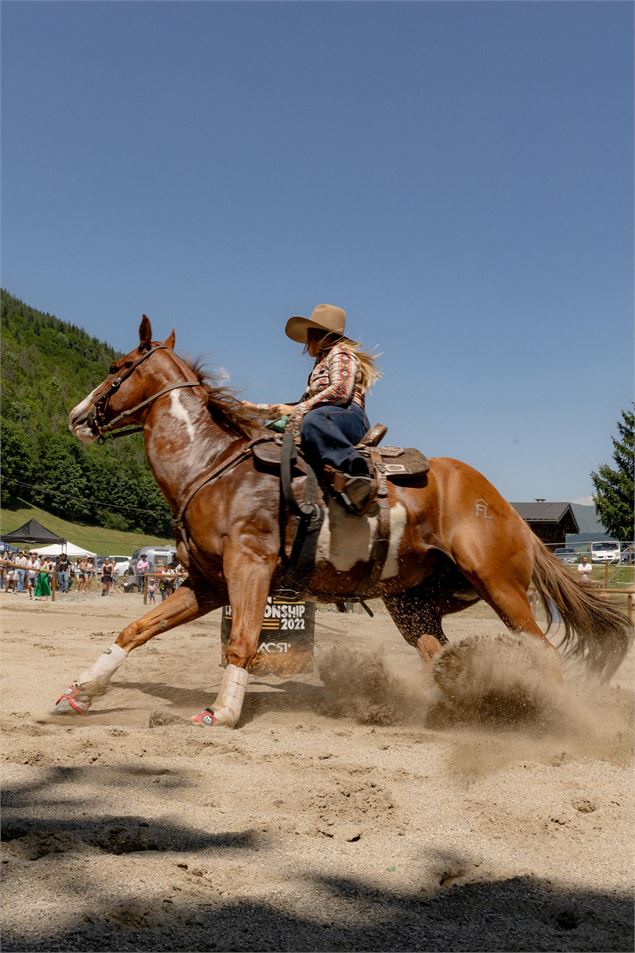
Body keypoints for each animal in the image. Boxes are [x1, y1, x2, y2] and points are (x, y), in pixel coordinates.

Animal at [54, 316, 632, 727]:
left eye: (117, 366)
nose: (77, 416)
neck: (212, 465)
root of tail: (508, 509)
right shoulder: (207, 582)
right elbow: (136, 629)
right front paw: (79, 692)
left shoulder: (249, 569)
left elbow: (242, 641)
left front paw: (221, 712)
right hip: (415, 602)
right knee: (438, 655)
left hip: (500, 584)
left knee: (542, 653)